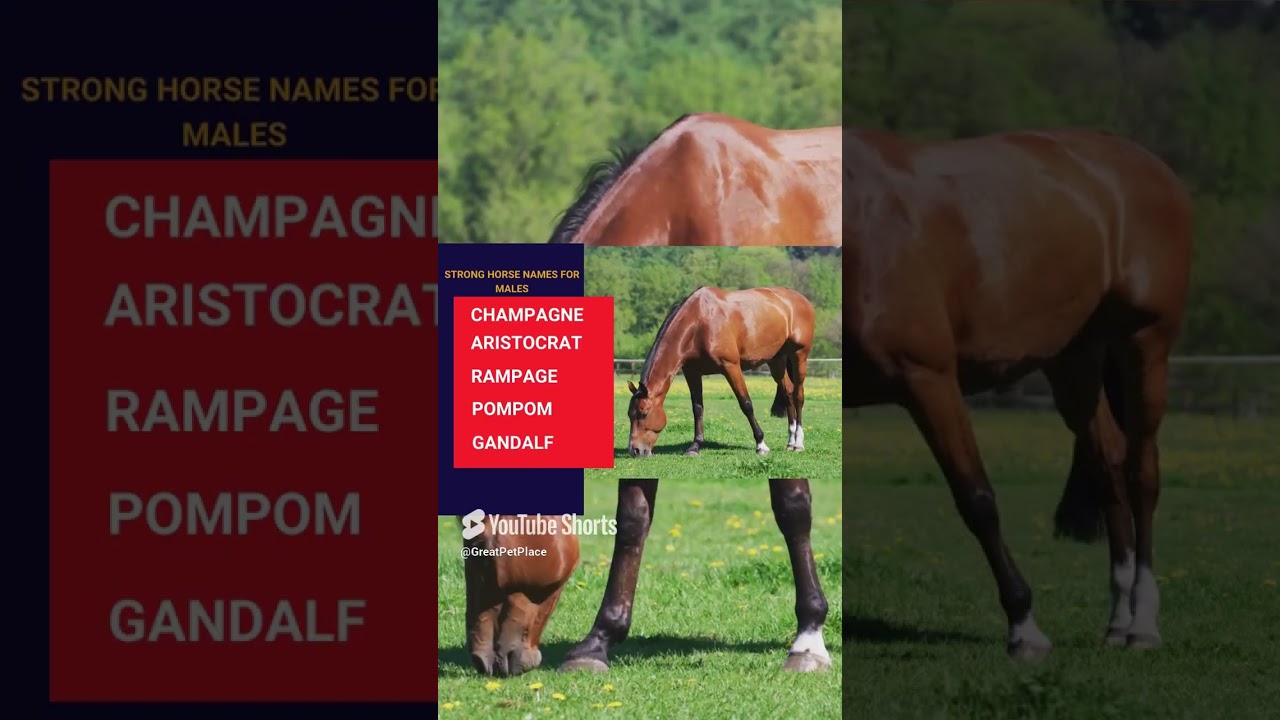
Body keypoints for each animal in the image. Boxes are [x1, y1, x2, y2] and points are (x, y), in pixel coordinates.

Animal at [625, 286, 815, 458]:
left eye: (644, 413)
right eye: (629, 415)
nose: (635, 450)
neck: (699, 323)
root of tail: (801, 299)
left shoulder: (731, 367)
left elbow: (746, 404)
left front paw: (761, 444)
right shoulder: (692, 372)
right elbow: (697, 408)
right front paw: (695, 446)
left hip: (799, 356)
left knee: (798, 395)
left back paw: (798, 443)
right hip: (777, 360)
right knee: (787, 393)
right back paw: (790, 442)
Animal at [843, 126, 1192, 659]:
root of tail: (1150, 166)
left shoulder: (928, 378)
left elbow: (977, 500)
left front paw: (1024, 627)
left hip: (1145, 344)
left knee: (1141, 473)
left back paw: (1143, 624)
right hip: (1074, 361)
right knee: (1108, 467)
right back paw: (1117, 621)